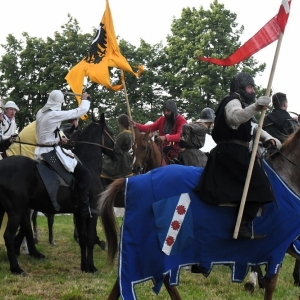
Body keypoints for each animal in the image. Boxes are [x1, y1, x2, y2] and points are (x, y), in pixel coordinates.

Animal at [0, 113, 122, 276]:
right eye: (112, 133)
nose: (119, 153)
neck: (89, 166)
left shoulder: (79, 213)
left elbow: (83, 240)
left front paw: (84, 267)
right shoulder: (92, 213)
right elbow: (89, 239)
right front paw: (92, 267)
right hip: (15, 211)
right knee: (9, 236)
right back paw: (17, 268)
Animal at [98, 127, 300, 300]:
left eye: (145, 147)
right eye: (133, 149)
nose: (136, 167)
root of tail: (131, 182)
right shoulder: (279, 246)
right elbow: (270, 283)